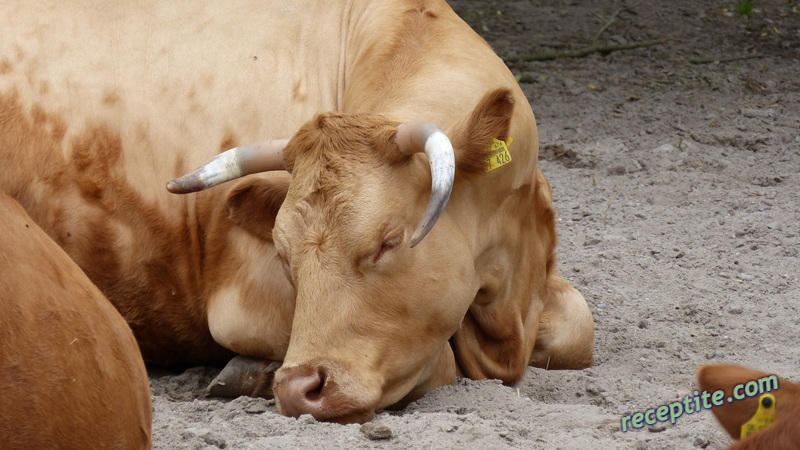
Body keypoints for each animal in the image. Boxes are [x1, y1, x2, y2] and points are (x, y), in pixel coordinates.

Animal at [0, 0, 592, 422]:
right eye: (283, 257)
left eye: (388, 242)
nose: (298, 388)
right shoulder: (242, 302)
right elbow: (441, 361)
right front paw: (253, 374)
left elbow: (578, 326)